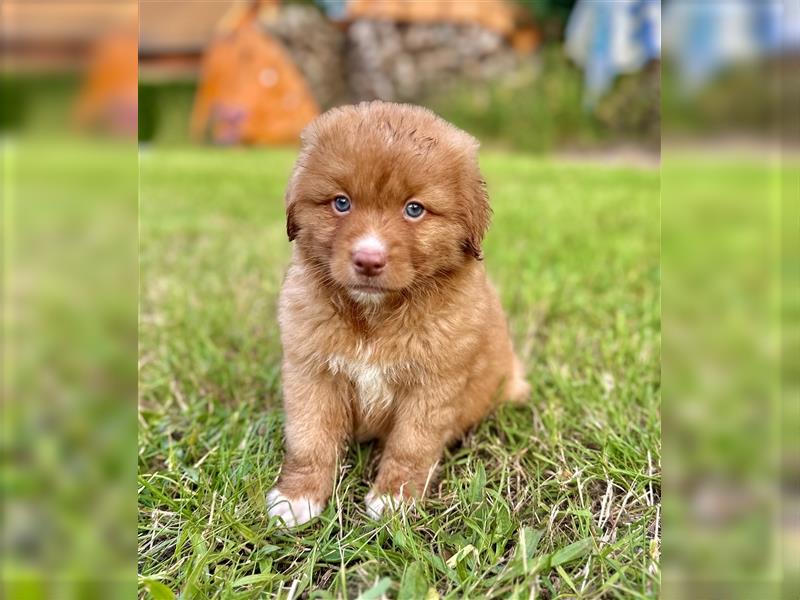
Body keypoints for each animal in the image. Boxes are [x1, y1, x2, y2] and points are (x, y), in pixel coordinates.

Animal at [268, 99, 532, 524]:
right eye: (341, 203)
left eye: (414, 209)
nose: (368, 259)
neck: (374, 317)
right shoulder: (311, 373)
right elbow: (310, 440)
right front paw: (298, 497)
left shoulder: (433, 386)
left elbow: (411, 446)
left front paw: (394, 498)